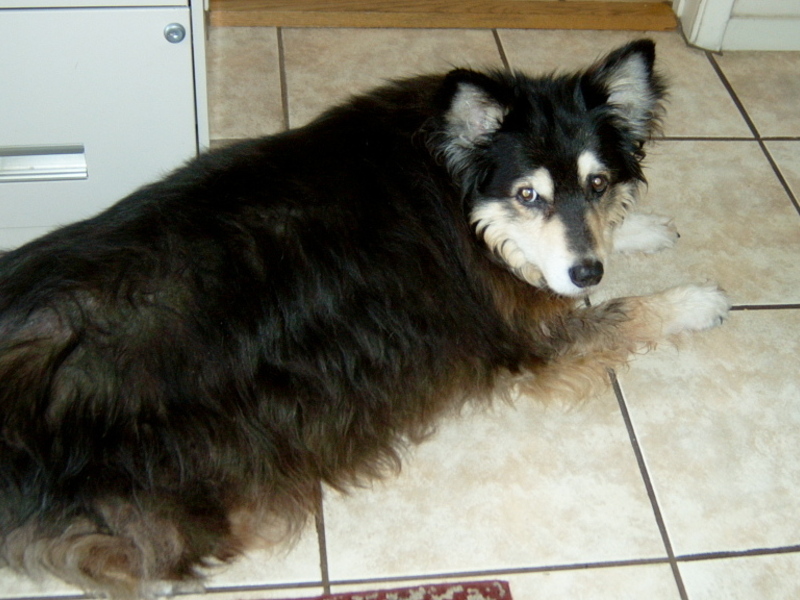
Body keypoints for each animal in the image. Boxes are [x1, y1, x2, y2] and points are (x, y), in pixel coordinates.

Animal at [0, 39, 728, 596]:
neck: (450, 182)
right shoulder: (530, 336)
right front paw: (694, 299)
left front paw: (638, 231)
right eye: (527, 195)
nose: (587, 275)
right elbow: (627, 312)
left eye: (598, 184)